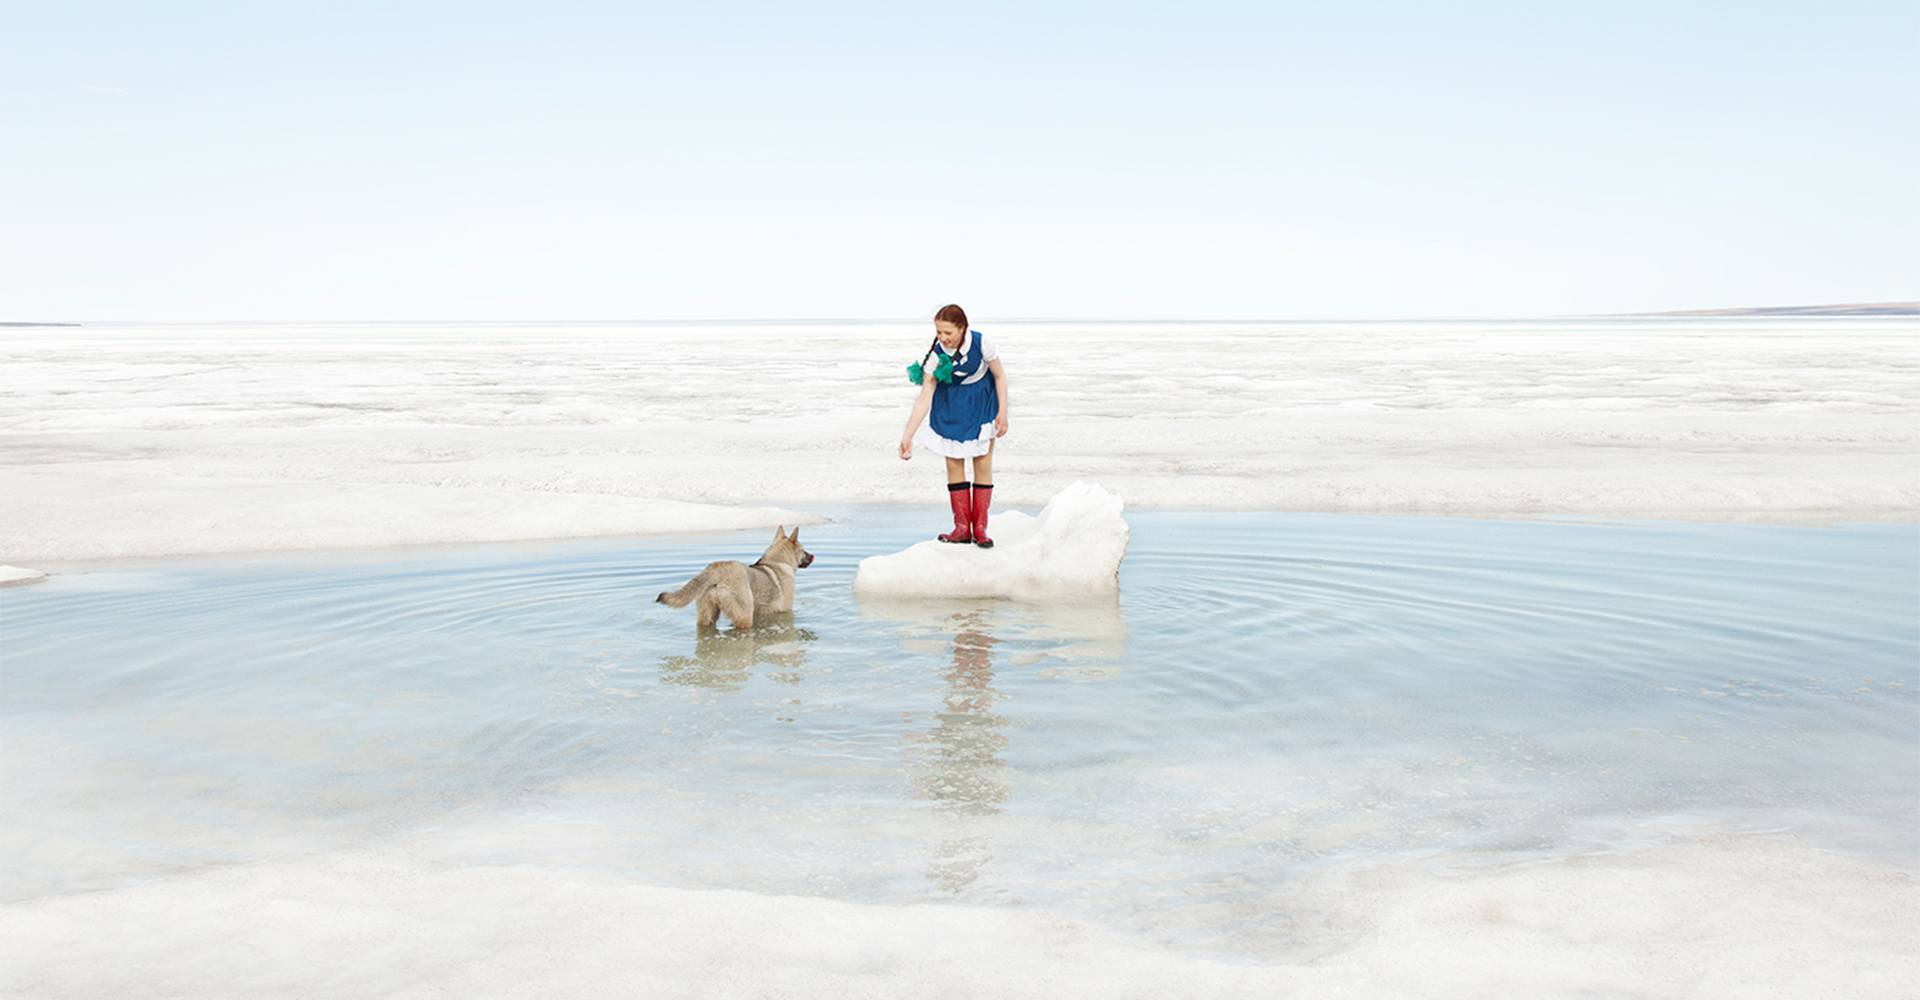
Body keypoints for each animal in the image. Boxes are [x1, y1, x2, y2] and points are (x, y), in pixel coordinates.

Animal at [656, 525, 814, 629]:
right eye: (803, 550)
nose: (813, 556)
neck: (778, 561)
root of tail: (717, 569)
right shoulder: (785, 610)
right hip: (744, 616)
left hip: (706, 616)